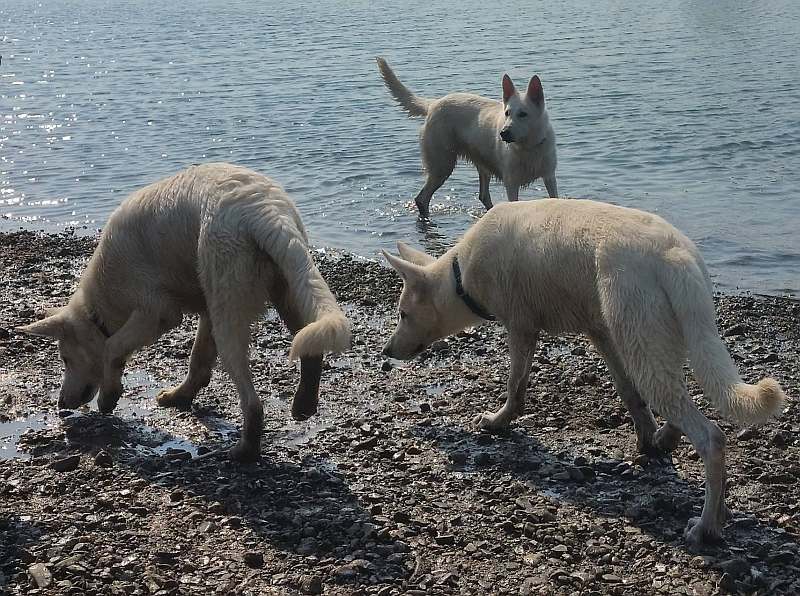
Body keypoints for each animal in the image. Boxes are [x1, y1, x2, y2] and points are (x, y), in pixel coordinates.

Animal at [17, 163, 350, 460]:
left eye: (64, 358)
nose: (61, 404)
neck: (100, 305)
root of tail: (266, 211)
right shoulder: (205, 309)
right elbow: (198, 359)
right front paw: (180, 396)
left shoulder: (157, 311)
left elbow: (113, 347)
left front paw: (109, 396)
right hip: (286, 284)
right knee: (309, 346)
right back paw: (303, 404)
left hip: (231, 306)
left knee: (252, 400)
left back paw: (246, 449)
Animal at [378, 55, 560, 219]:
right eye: (507, 113)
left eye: (523, 114)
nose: (503, 133)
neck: (528, 147)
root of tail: (434, 104)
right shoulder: (511, 183)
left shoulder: (549, 176)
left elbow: (555, 199)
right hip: (442, 166)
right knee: (422, 198)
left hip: (478, 166)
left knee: (483, 196)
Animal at [382, 200, 788, 544]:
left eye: (402, 314)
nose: (385, 351)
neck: (459, 276)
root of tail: (678, 257)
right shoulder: (600, 332)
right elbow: (629, 395)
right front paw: (646, 441)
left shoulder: (521, 328)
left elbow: (516, 385)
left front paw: (499, 422)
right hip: (654, 338)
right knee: (680, 399)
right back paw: (682, 465)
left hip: (643, 344)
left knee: (711, 437)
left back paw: (705, 525)